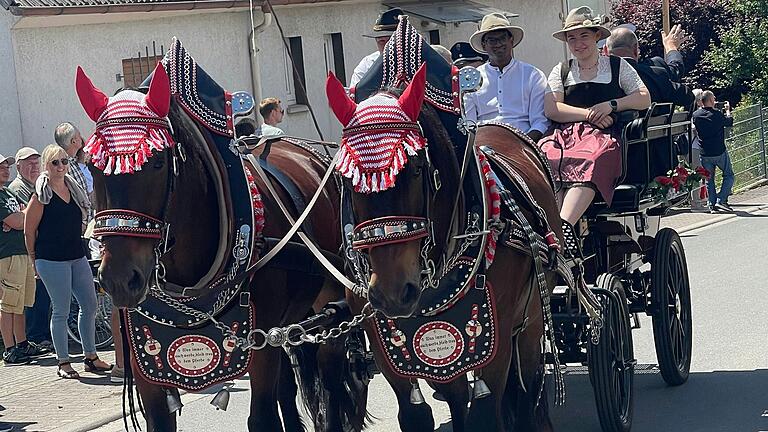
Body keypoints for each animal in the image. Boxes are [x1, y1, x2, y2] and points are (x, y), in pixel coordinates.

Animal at [78, 63, 366, 432]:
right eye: (92, 165)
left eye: (157, 162)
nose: (118, 279)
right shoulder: (148, 363)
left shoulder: (259, 346)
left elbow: (263, 417)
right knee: (287, 389)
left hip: (327, 312)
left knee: (329, 382)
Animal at [328, 65, 560, 432]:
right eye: (346, 177)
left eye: (416, 169)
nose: (393, 292)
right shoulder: (387, 347)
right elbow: (417, 414)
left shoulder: (494, 342)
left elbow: (486, 414)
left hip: (532, 319)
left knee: (527, 390)